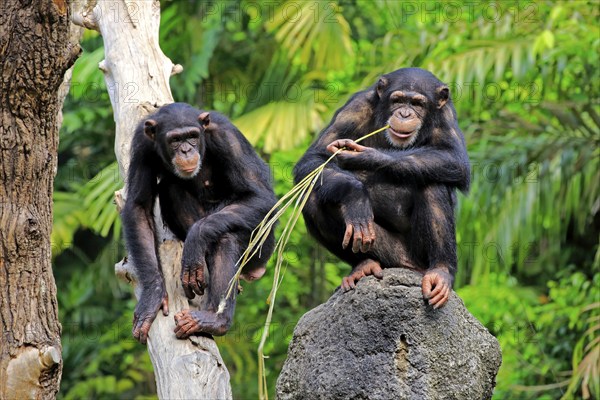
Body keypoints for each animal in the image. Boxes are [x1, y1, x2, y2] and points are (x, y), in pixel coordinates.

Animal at [122, 103, 276, 344]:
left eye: (192, 136)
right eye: (175, 140)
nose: (186, 150)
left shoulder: (227, 137)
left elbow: (261, 196)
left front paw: (196, 239)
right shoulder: (141, 144)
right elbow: (139, 206)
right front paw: (152, 297)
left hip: (261, 247)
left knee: (225, 238)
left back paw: (214, 319)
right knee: (171, 186)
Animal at [292, 67, 472, 308]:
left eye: (418, 103)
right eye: (397, 100)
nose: (404, 114)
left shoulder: (447, 115)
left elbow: (455, 157)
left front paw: (366, 156)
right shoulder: (355, 108)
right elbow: (316, 158)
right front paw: (355, 196)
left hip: (415, 257)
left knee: (433, 181)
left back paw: (440, 271)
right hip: (392, 257)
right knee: (314, 198)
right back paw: (364, 265)